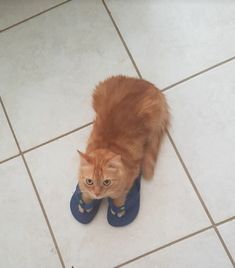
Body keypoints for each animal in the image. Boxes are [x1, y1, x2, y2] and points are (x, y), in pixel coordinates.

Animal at [78, 75, 169, 207]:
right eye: (90, 181)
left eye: (106, 182)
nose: (97, 193)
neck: (107, 146)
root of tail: (141, 81)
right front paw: (85, 202)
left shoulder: (132, 174)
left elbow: (120, 196)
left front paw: (118, 206)